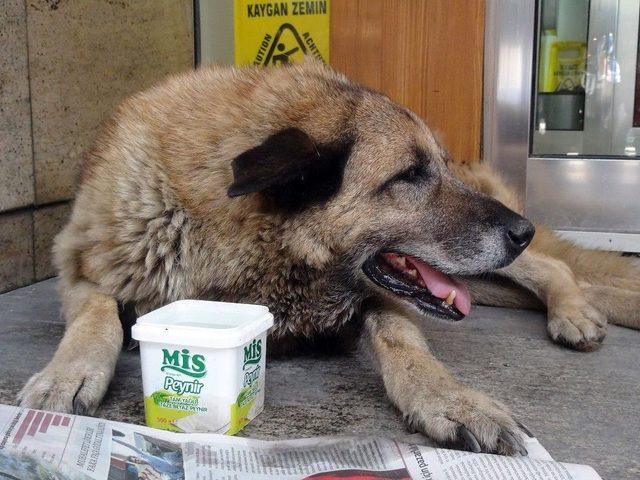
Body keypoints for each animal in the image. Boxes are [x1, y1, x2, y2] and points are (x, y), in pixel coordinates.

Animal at [20, 62, 640, 456]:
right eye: (410, 175)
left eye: (436, 167)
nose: (522, 231)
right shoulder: (79, 268)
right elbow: (98, 314)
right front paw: (66, 374)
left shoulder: (384, 300)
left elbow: (404, 342)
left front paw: (453, 399)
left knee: (556, 267)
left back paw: (574, 312)